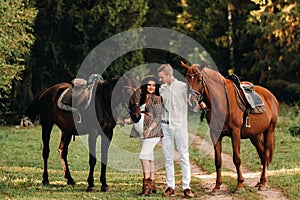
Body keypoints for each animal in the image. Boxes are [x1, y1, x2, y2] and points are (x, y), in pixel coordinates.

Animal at [182, 61, 280, 192]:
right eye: (187, 79)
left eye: (198, 80)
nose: (191, 101)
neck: (221, 102)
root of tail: (271, 97)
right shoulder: (215, 134)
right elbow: (218, 160)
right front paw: (217, 185)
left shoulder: (235, 133)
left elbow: (237, 159)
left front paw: (240, 185)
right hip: (254, 136)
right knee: (263, 156)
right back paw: (259, 182)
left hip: (269, 131)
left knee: (266, 155)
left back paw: (263, 183)